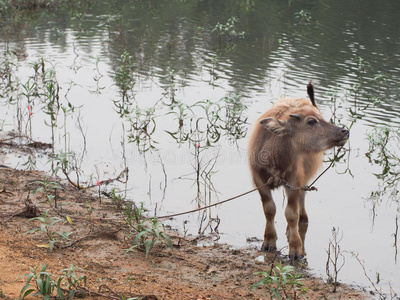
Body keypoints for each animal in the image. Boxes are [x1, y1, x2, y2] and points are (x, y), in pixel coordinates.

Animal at [248, 85, 348, 260]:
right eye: (311, 121)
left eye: (320, 117)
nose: (344, 131)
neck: (274, 156)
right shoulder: (259, 180)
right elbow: (269, 210)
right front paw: (269, 241)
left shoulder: (294, 182)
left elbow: (291, 214)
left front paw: (295, 249)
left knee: (302, 203)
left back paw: (299, 223)